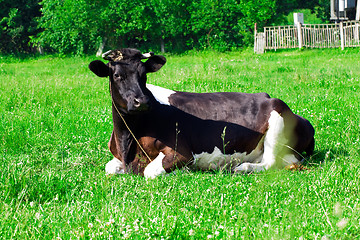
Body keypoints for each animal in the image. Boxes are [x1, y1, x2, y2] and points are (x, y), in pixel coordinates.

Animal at [89, 48, 316, 178]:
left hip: (277, 124)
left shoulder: (181, 152)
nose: (141, 101)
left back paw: (240, 168)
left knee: (269, 163)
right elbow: (110, 168)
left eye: (143, 74)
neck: (127, 138)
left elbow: (149, 172)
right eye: (117, 75)